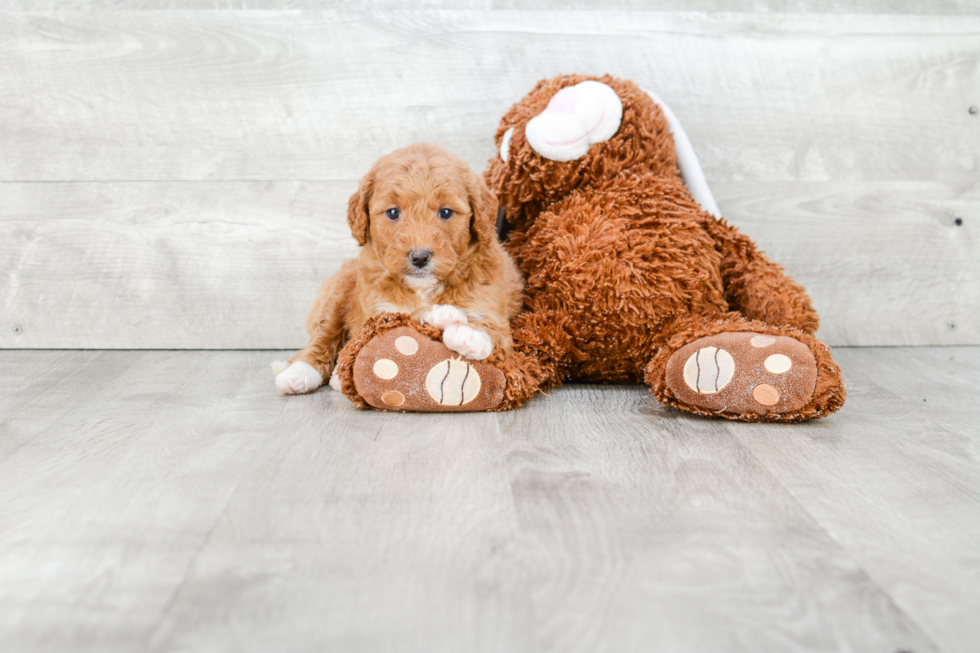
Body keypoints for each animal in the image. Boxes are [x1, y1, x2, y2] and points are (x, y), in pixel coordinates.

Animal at [274, 143, 520, 394]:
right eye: (393, 212)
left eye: (446, 212)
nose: (419, 257)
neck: (423, 288)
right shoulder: (376, 314)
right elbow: (405, 316)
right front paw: (444, 314)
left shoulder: (491, 305)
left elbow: (494, 329)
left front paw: (470, 334)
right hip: (337, 291)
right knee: (323, 335)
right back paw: (301, 373)